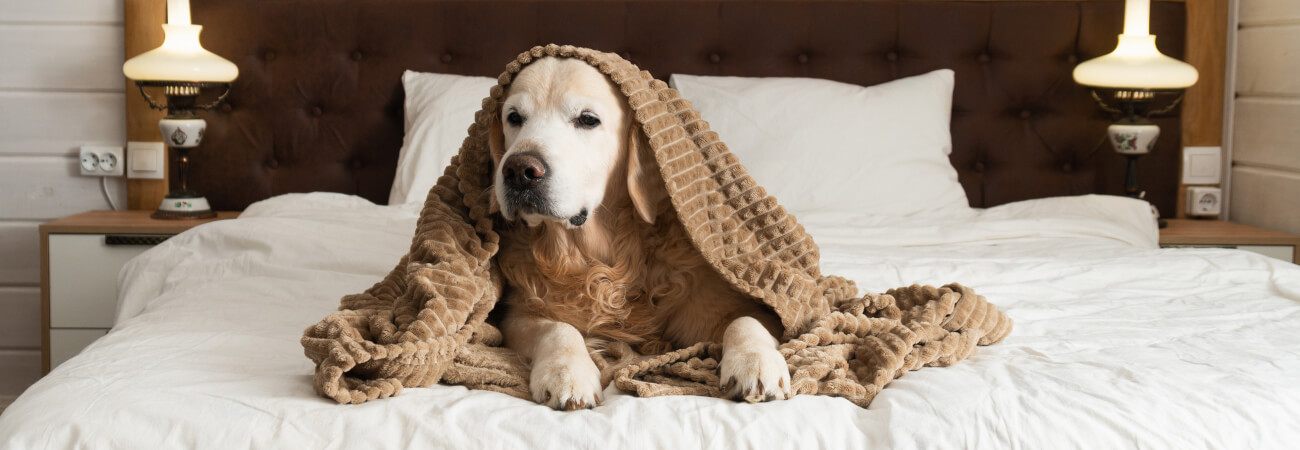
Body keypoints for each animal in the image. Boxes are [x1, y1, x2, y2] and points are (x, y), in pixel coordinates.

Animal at [488, 57, 790, 408]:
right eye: (514, 117)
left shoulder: (735, 304)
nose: (519, 171)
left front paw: (755, 361)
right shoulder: (517, 312)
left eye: (587, 119)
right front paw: (566, 373)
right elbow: (558, 329)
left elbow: (745, 320)